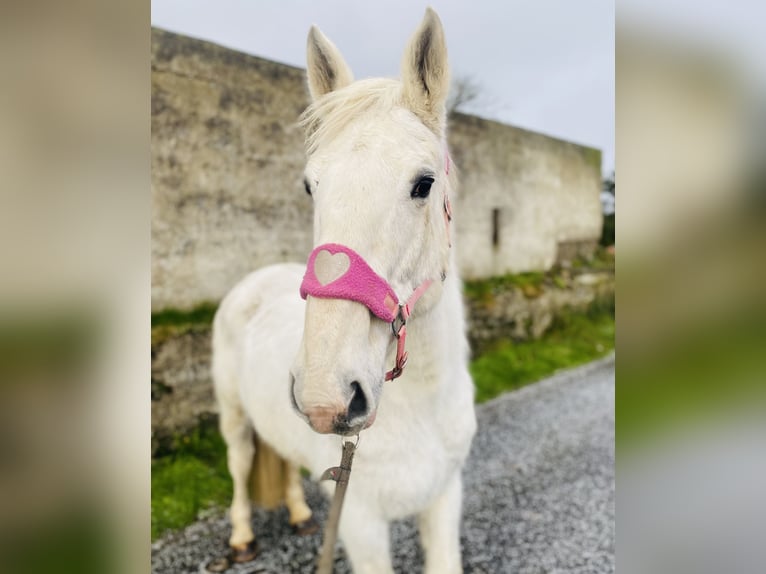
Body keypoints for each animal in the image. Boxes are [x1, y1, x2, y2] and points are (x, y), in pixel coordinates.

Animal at [210, 7, 474, 572]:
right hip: (234, 418)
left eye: (423, 184)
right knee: (240, 466)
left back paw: (297, 513)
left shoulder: (445, 498)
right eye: (310, 186)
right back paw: (242, 537)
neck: (422, 408)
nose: (324, 399)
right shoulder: (361, 525)